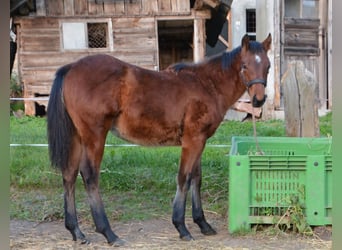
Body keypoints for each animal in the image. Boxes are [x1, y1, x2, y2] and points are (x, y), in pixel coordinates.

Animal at [47, 33, 272, 246]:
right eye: (245, 65)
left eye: (268, 66)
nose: (258, 100)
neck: (207, 85)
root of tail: (71, 67)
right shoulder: (192, 140)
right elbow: (184, 178)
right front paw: (181, 227)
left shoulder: (200, 141)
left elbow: (196, 179)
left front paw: (203, 224)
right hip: (95, 135)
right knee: (89, 175)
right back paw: (109, 233)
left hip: (77, 137)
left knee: (69, 174)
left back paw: (77, 231)